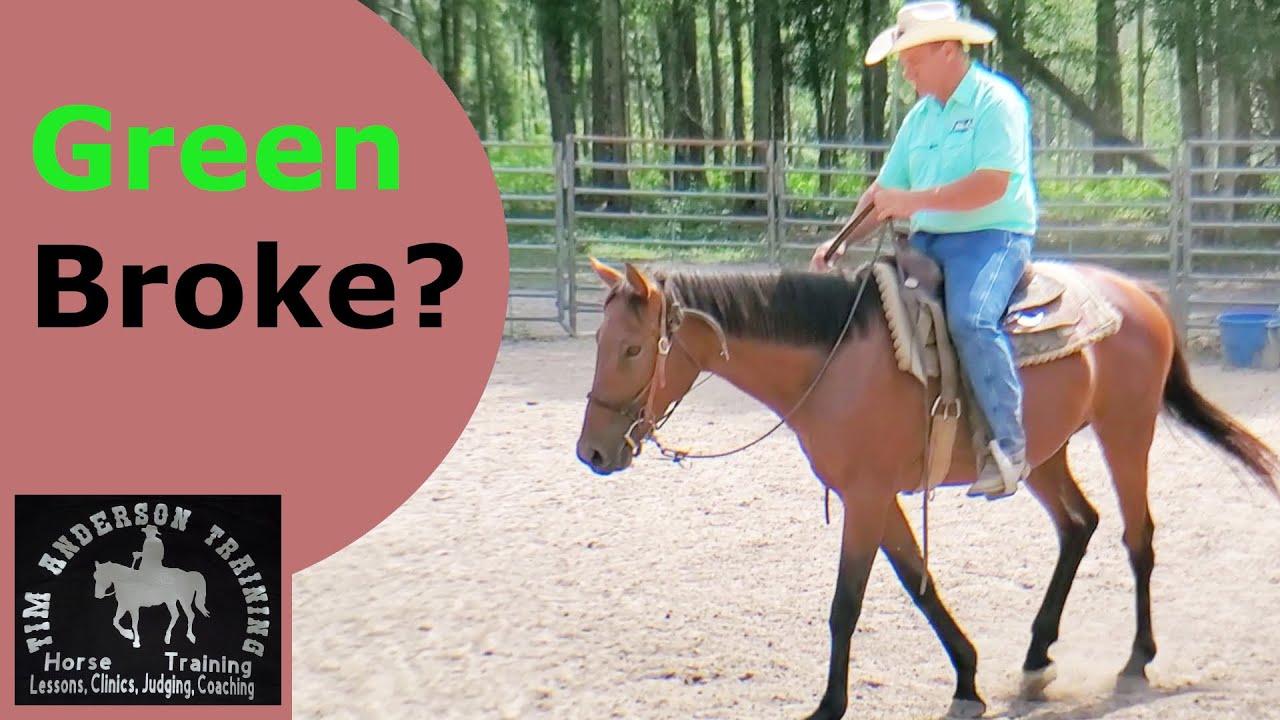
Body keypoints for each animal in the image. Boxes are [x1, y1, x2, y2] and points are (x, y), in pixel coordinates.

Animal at [574, 252, 1279, 719]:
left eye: (633, 349)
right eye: (601, 342)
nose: (593, 452)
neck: (834, 361)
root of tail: (1138, 291)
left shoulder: (864, 497)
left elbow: (846, 604)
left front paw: (829, 706)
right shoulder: (873, 496)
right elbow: (919, 582)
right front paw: (967, 678)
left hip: (1125, 430)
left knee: (1138, 536)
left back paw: (1137, 657)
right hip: (1042, 452)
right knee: (1080, 524)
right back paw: (1037, 655)